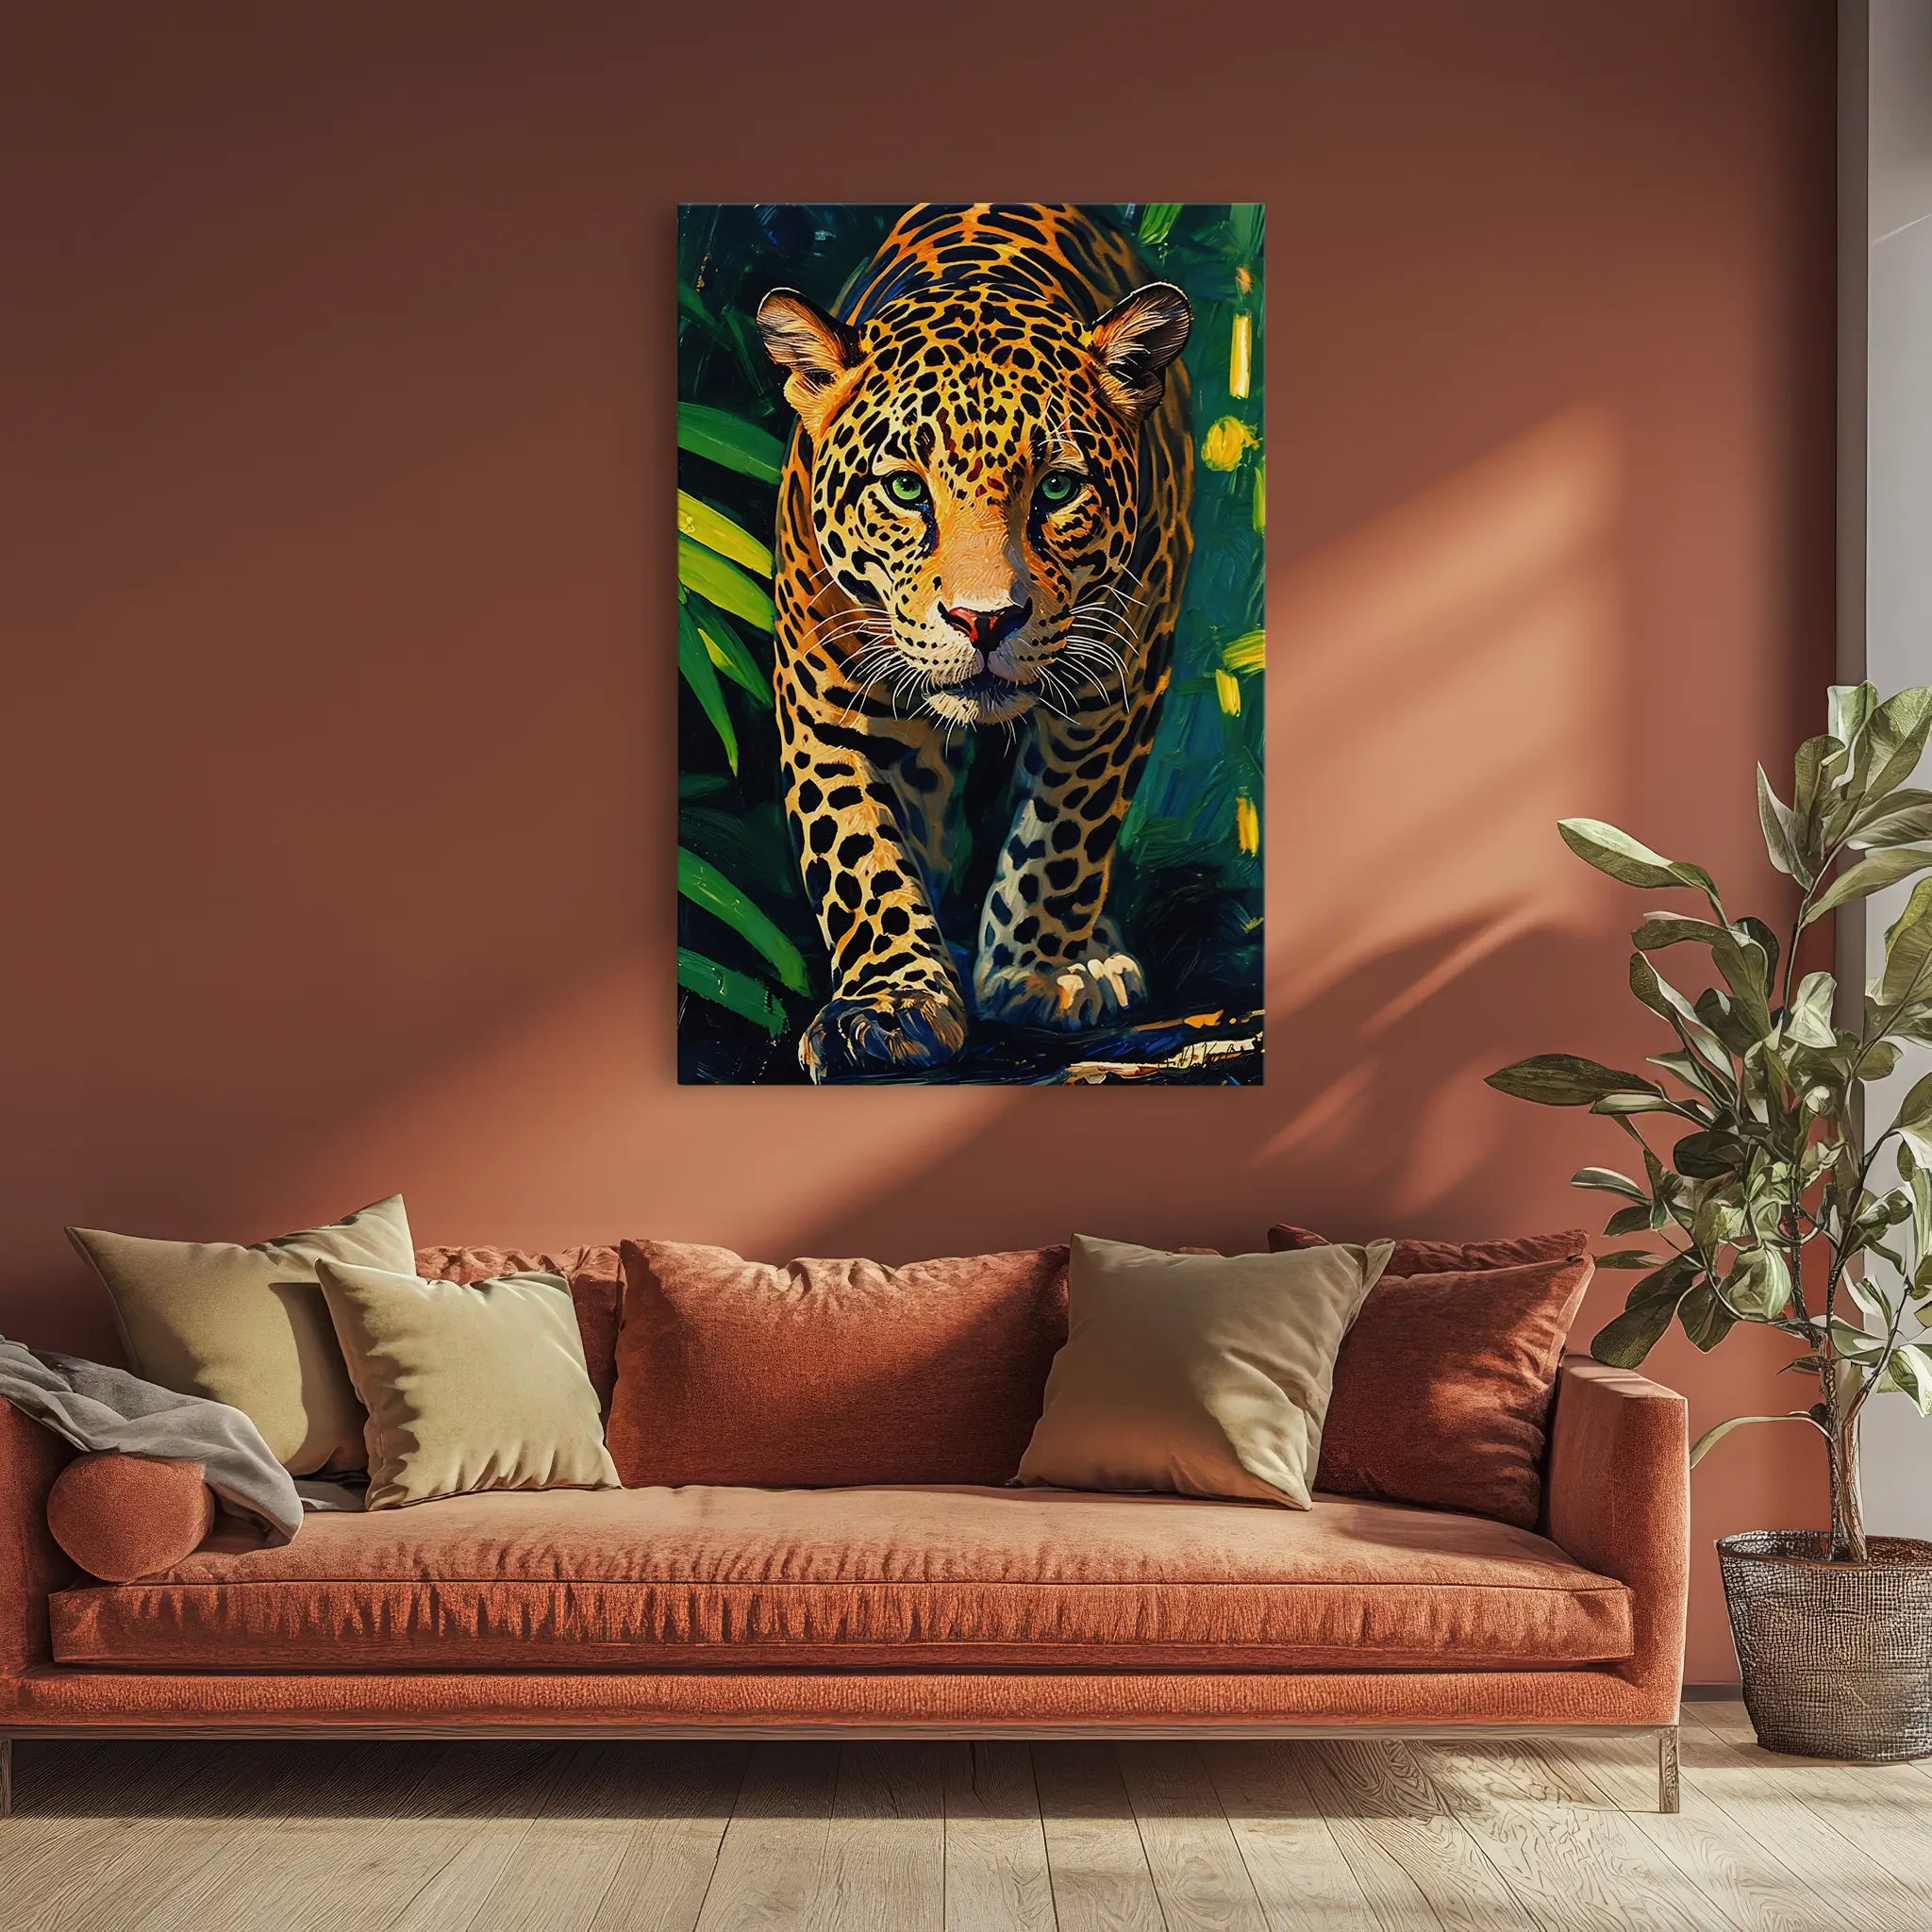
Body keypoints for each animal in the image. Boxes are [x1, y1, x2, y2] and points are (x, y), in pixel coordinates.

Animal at [756, 203, 1194, 1081]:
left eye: (1057, 489)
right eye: (904, 488)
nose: (984, 620)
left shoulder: (1119, 678)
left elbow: (1067, 828)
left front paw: (1037, 973)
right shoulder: (823, 695)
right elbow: (857, 846)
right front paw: (891, 1004)